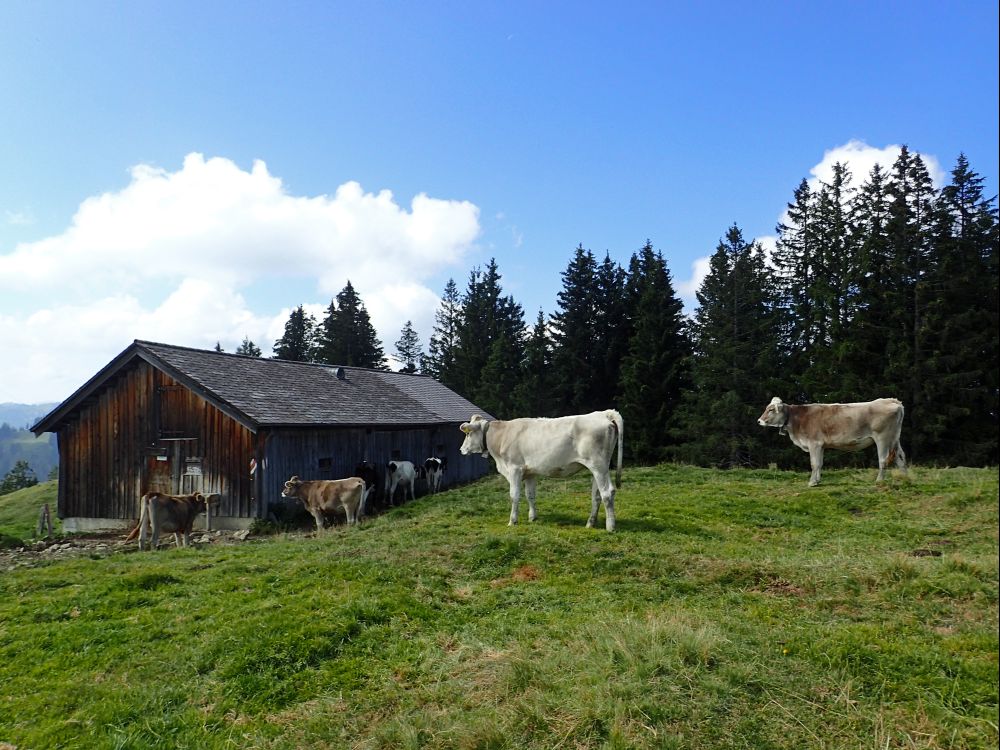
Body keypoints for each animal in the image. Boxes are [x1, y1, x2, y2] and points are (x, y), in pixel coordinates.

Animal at [756, 400, 908, 488]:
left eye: (771, 410)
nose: (759, 421)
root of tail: (891, 400)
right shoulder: (821, 445)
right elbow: (820, 463)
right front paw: (817, 481)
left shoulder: (814, 443)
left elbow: (814, 463)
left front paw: (812, 482)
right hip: (895, 438)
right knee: (900, 457)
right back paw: (906, 479)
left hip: (883, 438)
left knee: (883, 460)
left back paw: (879, 481)